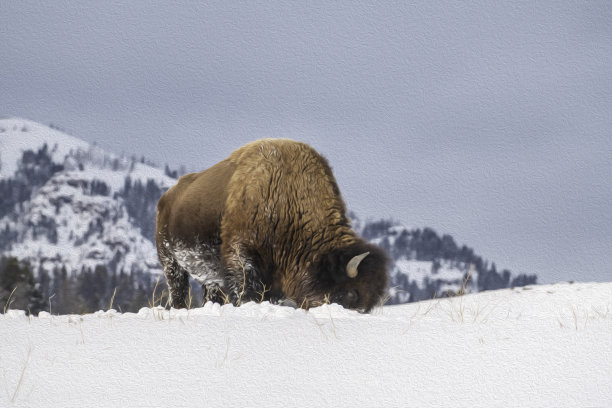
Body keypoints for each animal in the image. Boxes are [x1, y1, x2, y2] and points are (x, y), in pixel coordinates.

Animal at [157, 139, 388, 310]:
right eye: (349, 293)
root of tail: (166, 198)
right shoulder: (241, 255)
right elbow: (246, 289)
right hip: (170, 262)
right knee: (177, 291)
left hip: (209, 278)